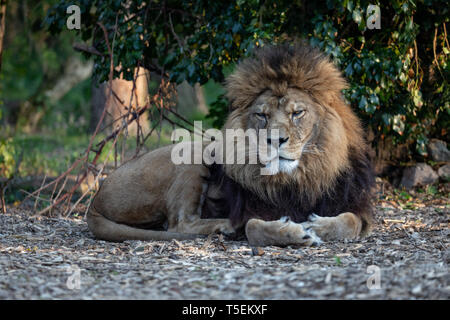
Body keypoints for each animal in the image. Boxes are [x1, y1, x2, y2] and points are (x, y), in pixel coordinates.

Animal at [86, 42, 374, 246]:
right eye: (262, 115)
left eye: (297, 113)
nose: (275, 140)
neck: (298, 178)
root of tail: (95, 200)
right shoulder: (252, 210)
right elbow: (254, 228)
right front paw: (296, 231)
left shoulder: (354, 205)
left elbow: (350, 222)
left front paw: (318, 226)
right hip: (193, 152)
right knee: (179, 223)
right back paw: (225, 226)